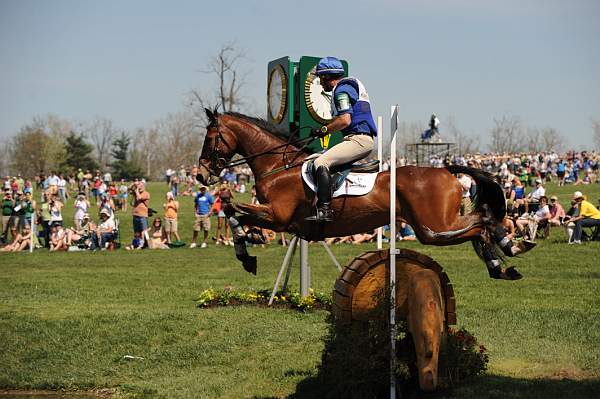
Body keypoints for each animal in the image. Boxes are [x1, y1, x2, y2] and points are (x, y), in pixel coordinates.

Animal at [197, 108, 536, 278]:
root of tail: (445, 169)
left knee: (480, 222)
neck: (279, 167)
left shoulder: (278, 217)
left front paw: (246, 254)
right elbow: (233, 211)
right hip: (433, 226)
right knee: (483, 220)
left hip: (433, 227)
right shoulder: (278, 219)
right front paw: (250, 243)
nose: (201, 174)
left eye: (210, 138)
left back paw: (505, 253)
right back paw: (507, 253)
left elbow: (231, 208)